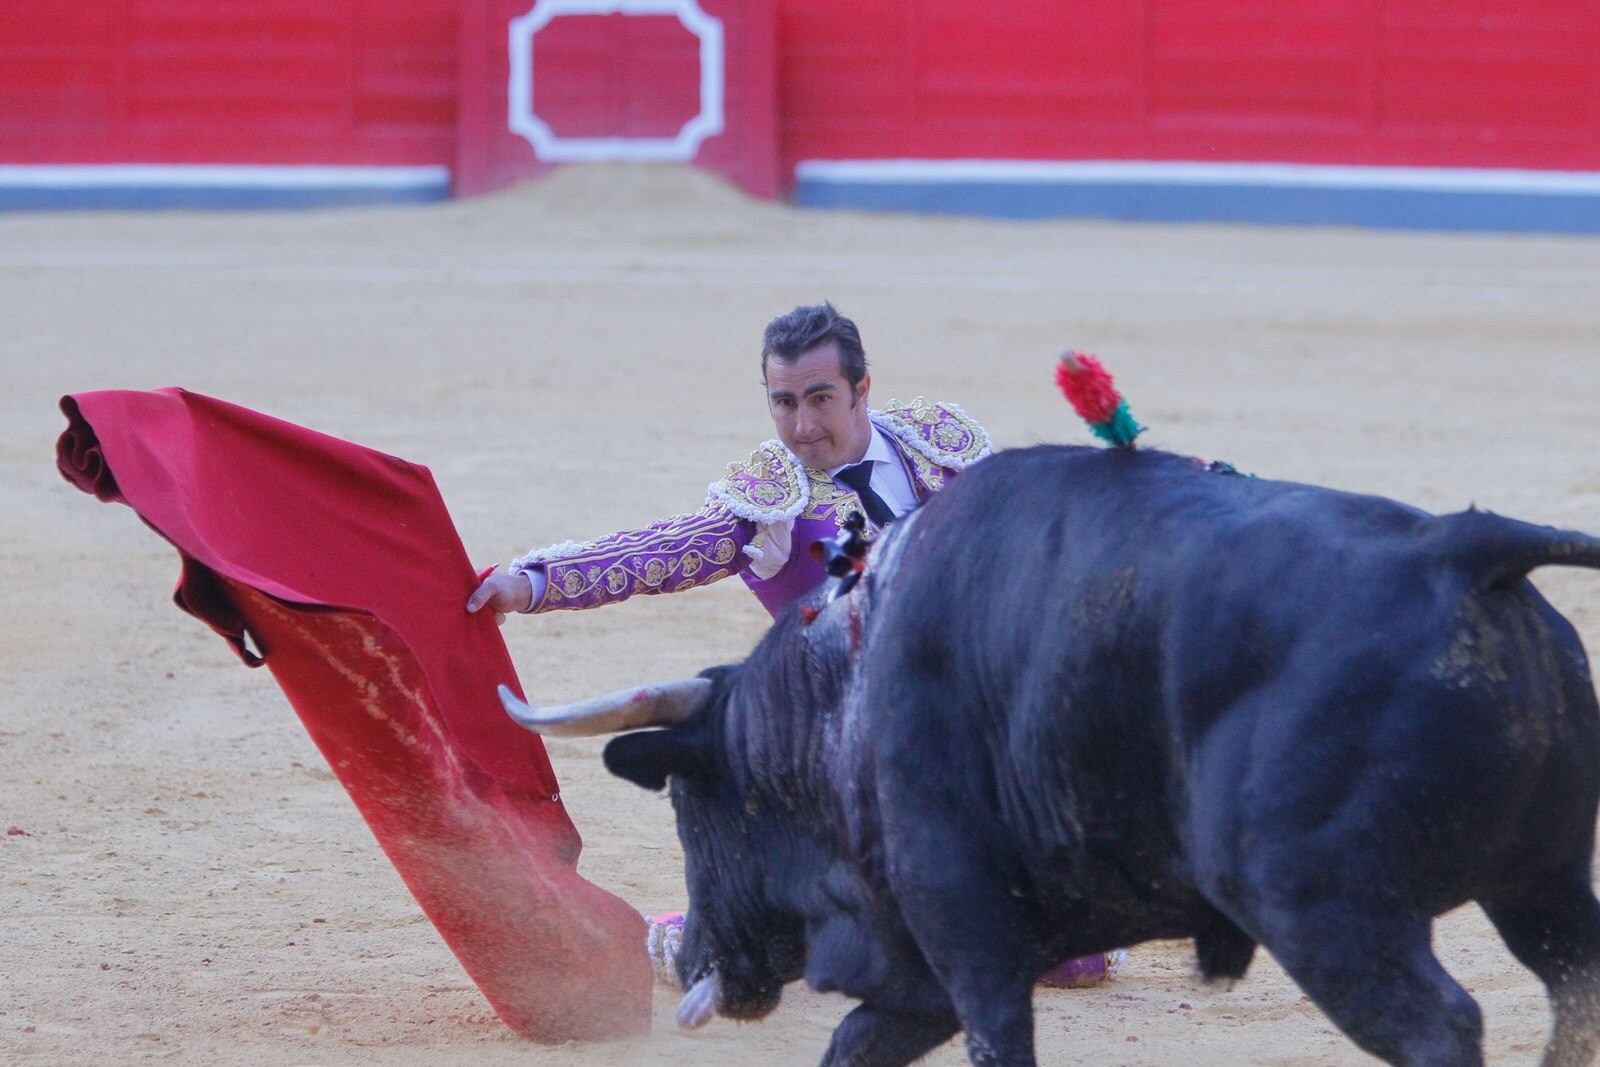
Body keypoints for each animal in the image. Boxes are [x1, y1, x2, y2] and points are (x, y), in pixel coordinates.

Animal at [499, 447, 1600, 1067]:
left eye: (695, 806)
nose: (692, 957)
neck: (837, 694)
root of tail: (1457, 548)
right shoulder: (921, 966)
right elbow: (854, 1045)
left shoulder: (966, 932)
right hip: (1542, 880)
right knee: (1575, 989)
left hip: (1325, 905)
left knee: (1439, 1027)